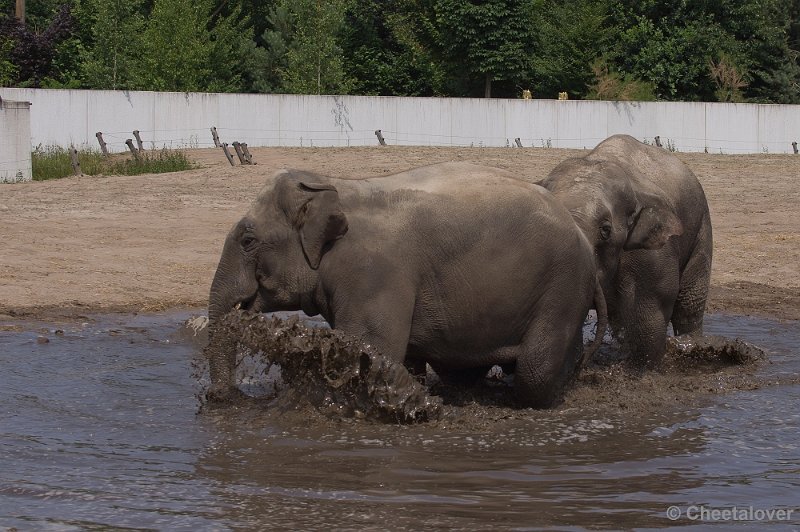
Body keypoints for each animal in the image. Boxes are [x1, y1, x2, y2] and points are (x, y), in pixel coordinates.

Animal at [209, 162, 604, 408]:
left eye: (248, 241)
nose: (220, 398)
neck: (334, 184)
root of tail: (585, 244)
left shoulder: (375, 276)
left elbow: (369, 348)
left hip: (561, 288)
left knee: (534, 373)